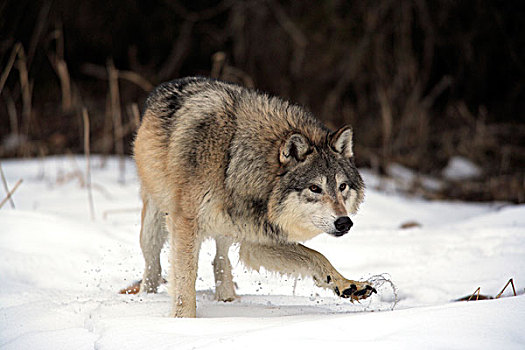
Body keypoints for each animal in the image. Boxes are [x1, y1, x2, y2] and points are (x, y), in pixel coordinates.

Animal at [133, 76, 374, 318]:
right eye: (315, 188)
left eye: (342, 186)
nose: (344, 222)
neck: (232, 163)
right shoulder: (185, 225)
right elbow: (185, 278)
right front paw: (183, 319)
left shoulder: (257, 241)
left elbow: (316, 256)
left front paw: (348, 285)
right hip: (154, 227)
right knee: (154, 268)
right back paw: (147, 297)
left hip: (224, 231)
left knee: (219, 261)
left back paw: (227, 299)